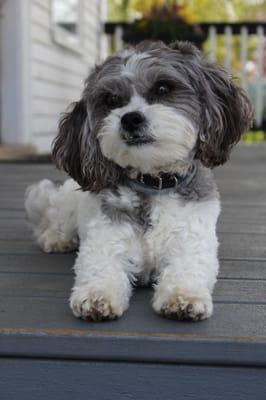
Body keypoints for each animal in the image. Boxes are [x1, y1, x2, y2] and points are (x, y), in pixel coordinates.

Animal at [26, 40, 252, 322]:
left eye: (163, 88)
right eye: (111, 100)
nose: (130, 118)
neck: (153, 182)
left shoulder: (192, 241)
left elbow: (188, 268)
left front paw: (183, 298)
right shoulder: (104, 239)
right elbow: (99, 267)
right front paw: (97, 297)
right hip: (68, 202)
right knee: (54, 219)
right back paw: (56, 239)